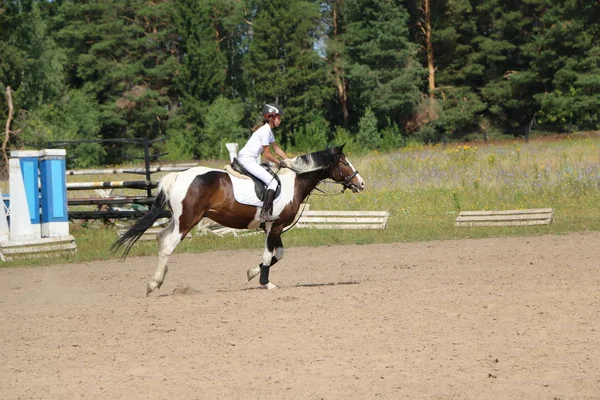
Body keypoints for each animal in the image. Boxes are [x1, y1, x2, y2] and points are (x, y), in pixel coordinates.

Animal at [112, 145, 366, 296]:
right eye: (345, 163)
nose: (361, 183)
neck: (293, 182)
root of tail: (178, 176)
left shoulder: (272, 228)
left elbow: (277, 254)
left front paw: (252, 273)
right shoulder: (275, 226)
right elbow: (269, 255)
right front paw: (266, 283)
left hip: (178, 220)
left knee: (160, 238)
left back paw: (159, 281)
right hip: (187, 221)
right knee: (167, 245)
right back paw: (153, 283)